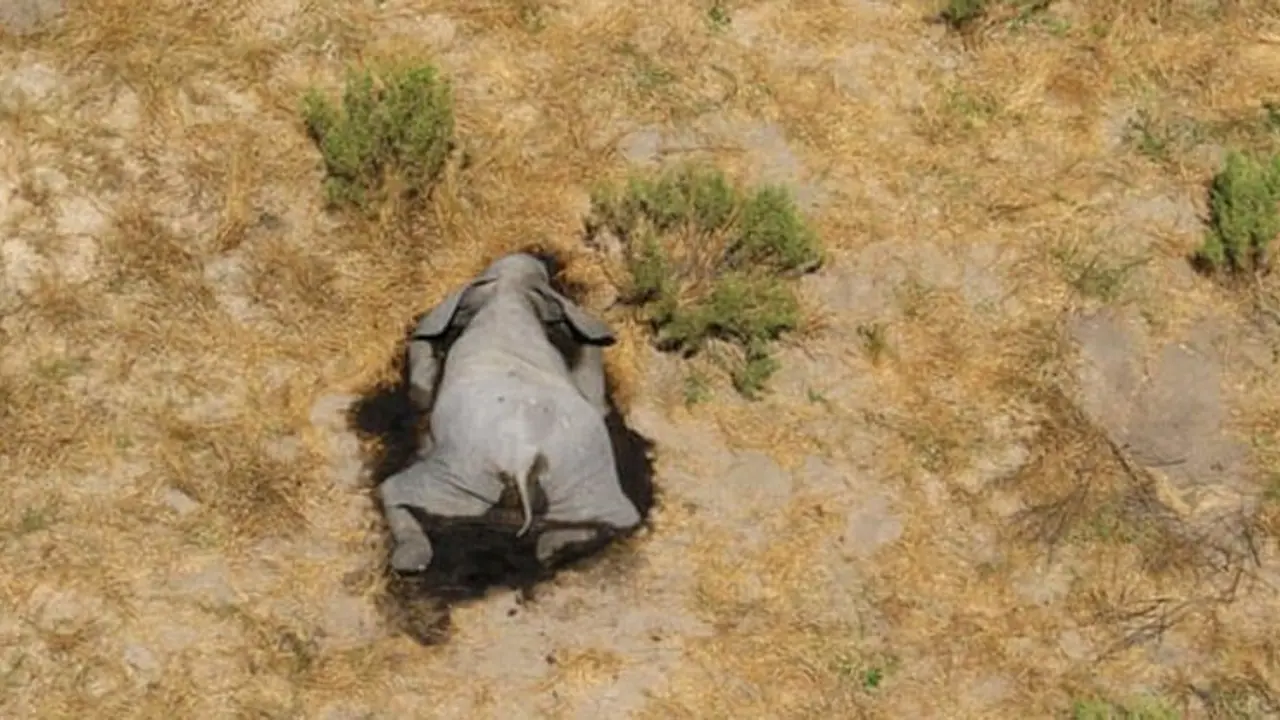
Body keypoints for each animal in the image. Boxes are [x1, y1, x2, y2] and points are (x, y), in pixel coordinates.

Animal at [380, 252, 643, 574]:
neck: (508, 293)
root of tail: (523, 460)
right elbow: (594, 397)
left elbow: (422, 390)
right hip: (583, 476)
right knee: (620, 517)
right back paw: (552, 548)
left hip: (462, 475)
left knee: (393, 489)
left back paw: (410, 559)